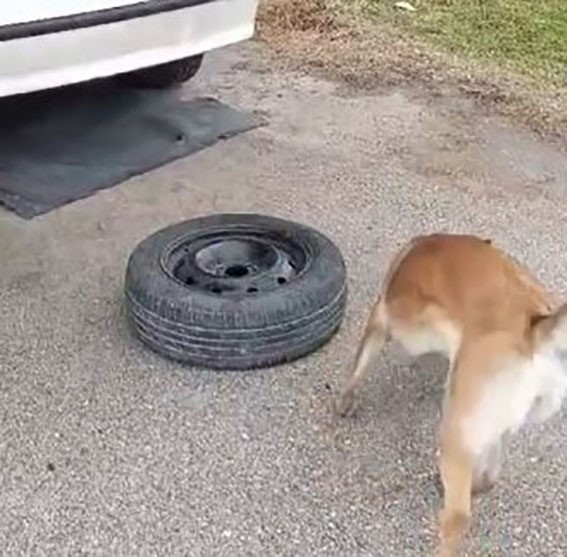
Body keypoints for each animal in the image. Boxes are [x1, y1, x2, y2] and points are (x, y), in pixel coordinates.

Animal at [332, 233, 567, 556]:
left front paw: (345, 400)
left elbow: (358, 367)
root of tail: (534, 329)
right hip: (492, 421)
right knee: (490, 472)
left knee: (458, 516)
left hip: (455, 431)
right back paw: (473, 483)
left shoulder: (379, 318)